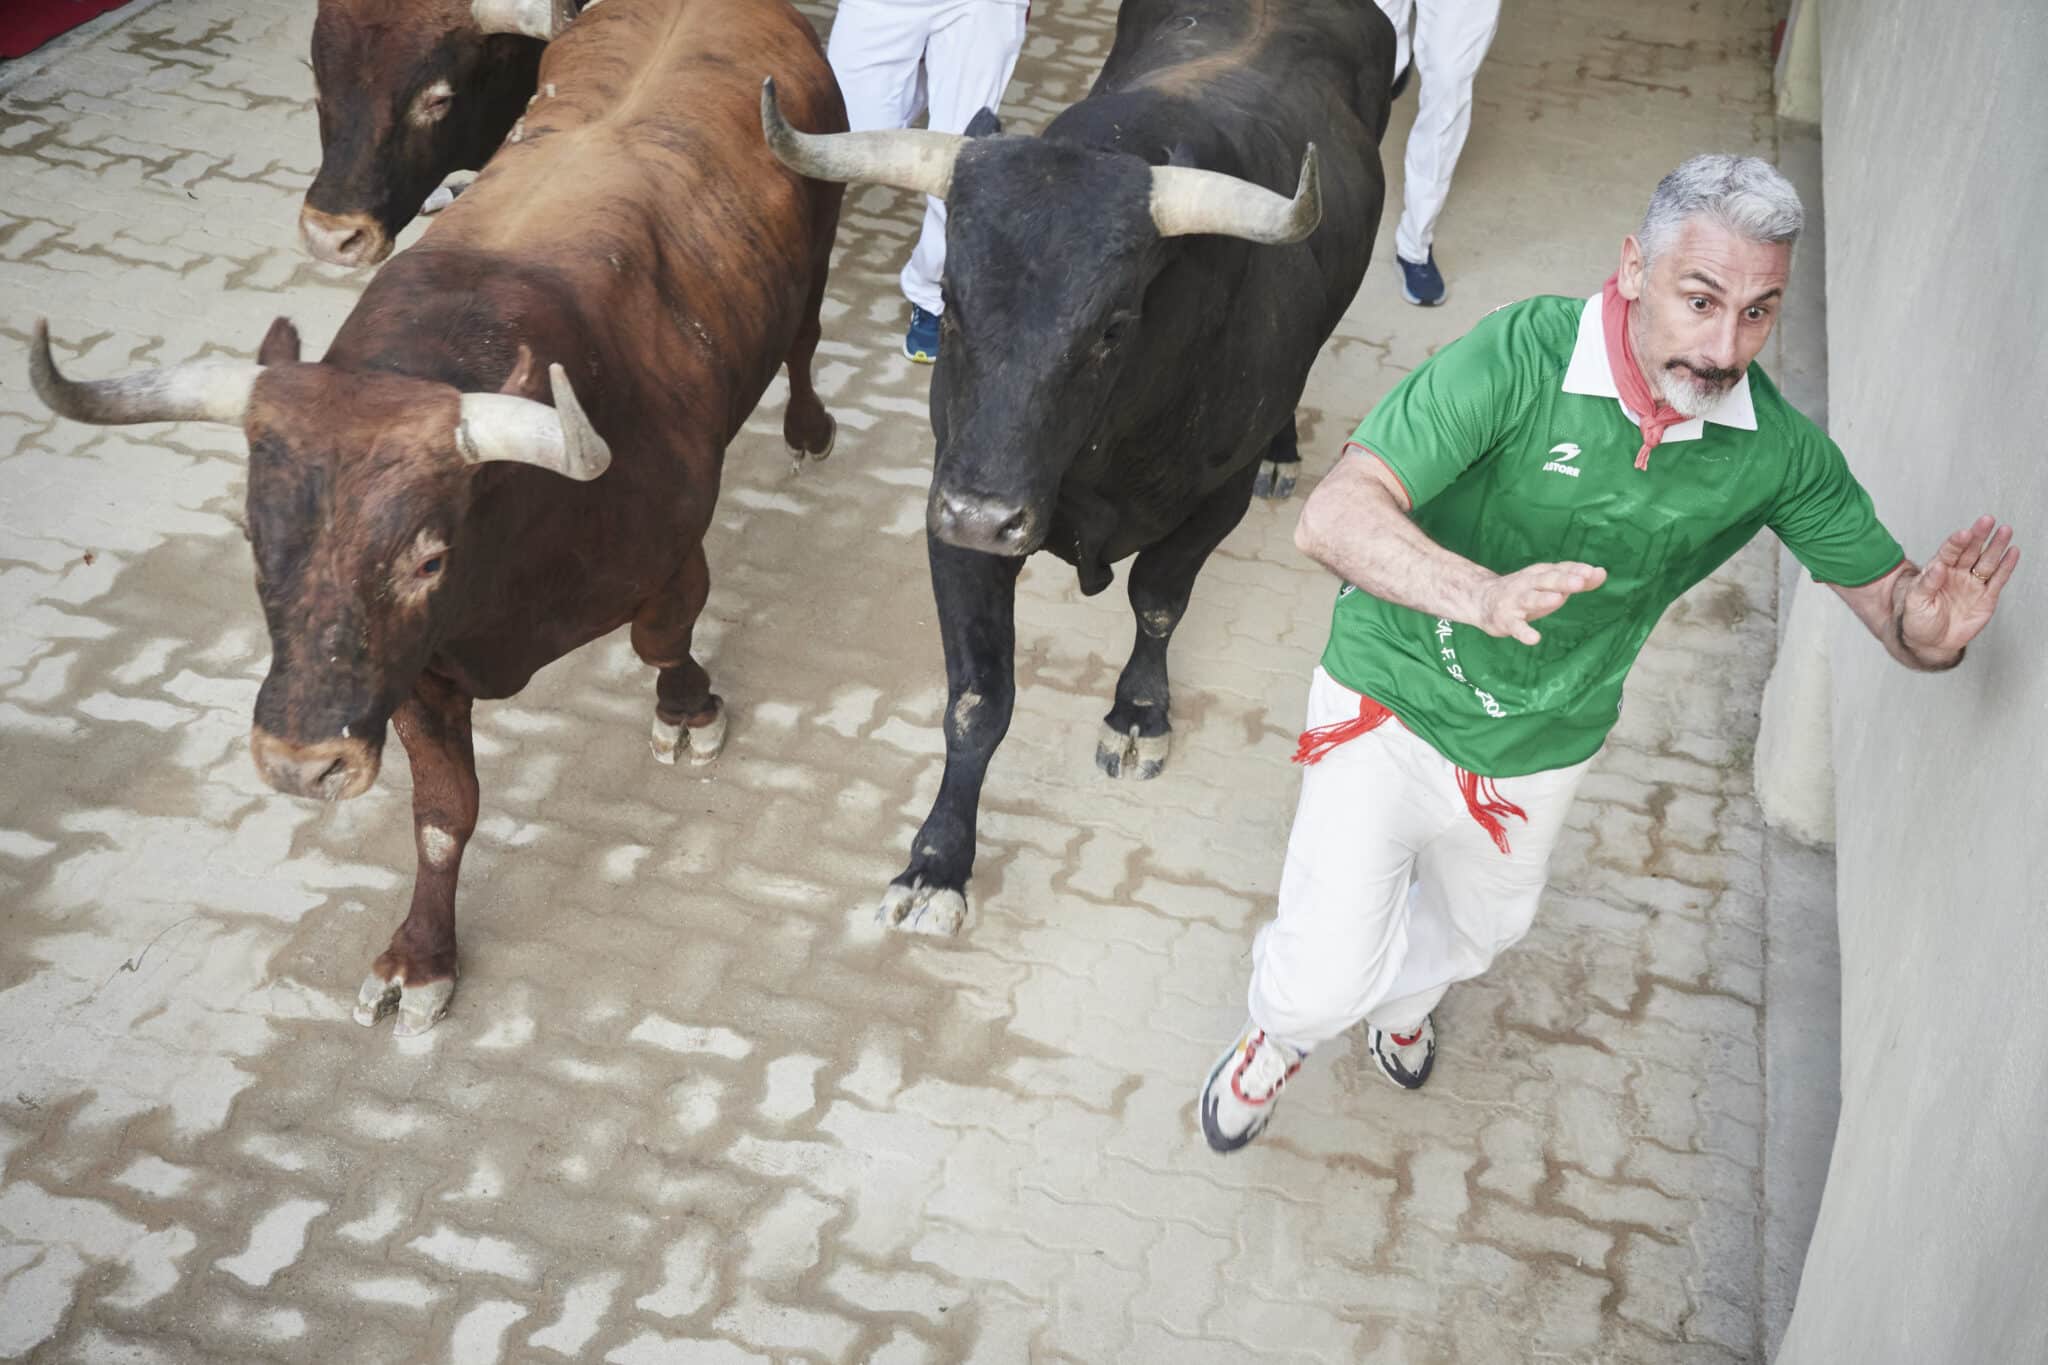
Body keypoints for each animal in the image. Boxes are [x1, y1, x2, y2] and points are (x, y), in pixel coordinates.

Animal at [770, 0, 1392, 941]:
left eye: (1112, 326)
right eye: (949, 301)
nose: (985, 513)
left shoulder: (1210, 504)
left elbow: (1159, 602)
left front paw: (1138, 712)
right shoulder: (951, 505)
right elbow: (977, 699)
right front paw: (936, 863)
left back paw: (1284, 451)